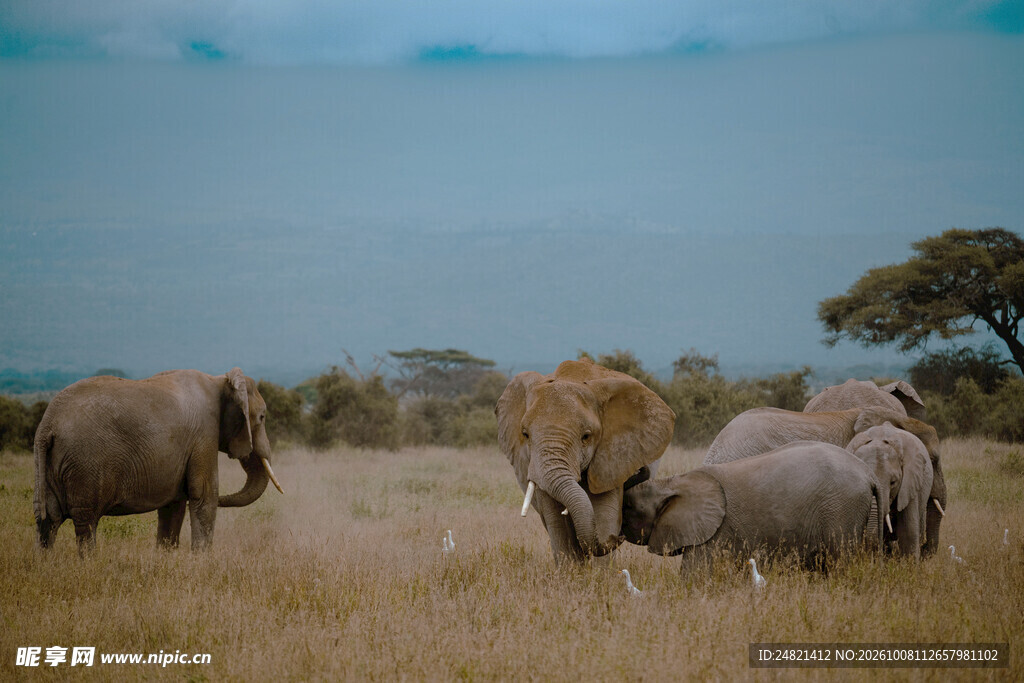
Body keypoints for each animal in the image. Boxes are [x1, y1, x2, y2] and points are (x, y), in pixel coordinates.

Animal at [33, 368, 283, 553]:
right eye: (262, 417)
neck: (220, 380)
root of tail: (48, 424)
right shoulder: (204, 435)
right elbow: (204, 495)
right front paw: (202, 561)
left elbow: (173, 505)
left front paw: (166, 558)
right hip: (85, 464)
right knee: (85, 523)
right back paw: (89, 566)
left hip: (48, 463)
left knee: (47, 521)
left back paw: (46, 566)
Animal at [495, 358, 675, 563]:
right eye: (525, 434)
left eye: (586, 437)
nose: (619, 537)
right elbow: (558, 524)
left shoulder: (609, 462)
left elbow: (603, 517)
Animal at [621, 441, 885, 571]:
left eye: (629, 507)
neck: (673, 482)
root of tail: (869, 474)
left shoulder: (713, 535)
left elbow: (695, 575)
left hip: (841, 510)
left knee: (841, 560)